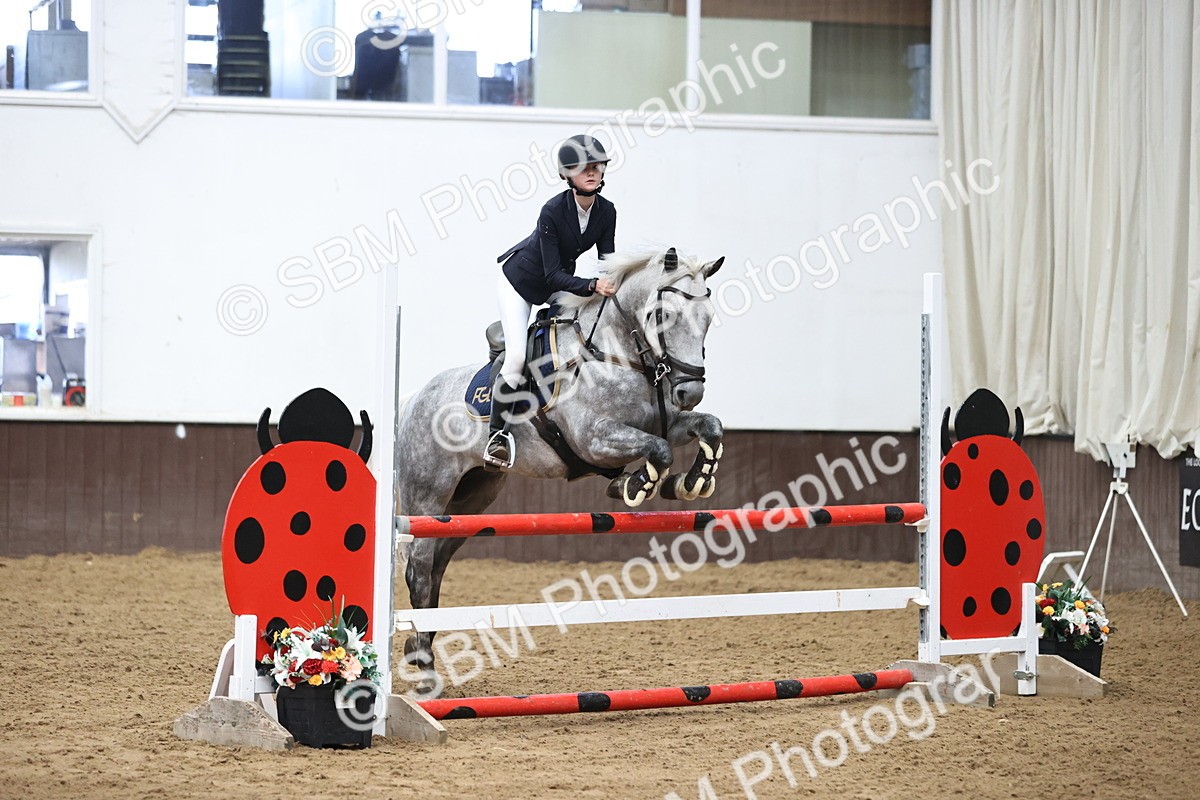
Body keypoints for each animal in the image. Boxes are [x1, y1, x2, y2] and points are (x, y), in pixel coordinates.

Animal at [396, 247, 726, 691]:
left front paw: (692, 481)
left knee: (436, 565)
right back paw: (427, 666)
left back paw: (421, 646)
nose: (690, 391)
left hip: (473, 498)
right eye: (664, 315)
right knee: (419, 568)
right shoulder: (593, 438)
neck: (616, 353)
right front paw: (636, 484)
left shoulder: (665, 422)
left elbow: (709, 426)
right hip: (428, 497)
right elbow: (657, 451)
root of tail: (413, 400)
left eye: (707, 318)